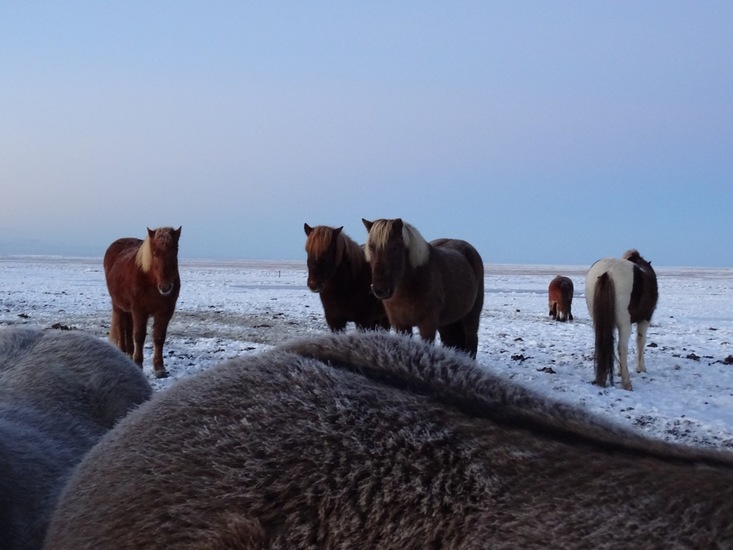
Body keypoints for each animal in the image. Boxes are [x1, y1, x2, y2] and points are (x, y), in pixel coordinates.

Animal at [103, 226, 181, 378]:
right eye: (155, 252)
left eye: (175, 250)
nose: (166, 287)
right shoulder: (139, 310)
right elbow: (139, 336)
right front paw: (138, 364)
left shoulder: (165, 312)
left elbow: (159, 337)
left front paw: (159, 368)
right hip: (118, 305)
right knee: (121, 327)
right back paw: (123, 352)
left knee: (128, 327)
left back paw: (129, 353)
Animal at [361, 218, 484, 357]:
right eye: (371, 248)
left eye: (395, 248)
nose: (380, 289)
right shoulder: (400, 324)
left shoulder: (427, 326)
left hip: (471, 316)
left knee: (471, 341)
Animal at [585, 249, 658, 390]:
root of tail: (608, 271)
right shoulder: (645, 319)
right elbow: (640, 341)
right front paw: (641, 368)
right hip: (625, 323)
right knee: (622, 347)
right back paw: (626, 383)